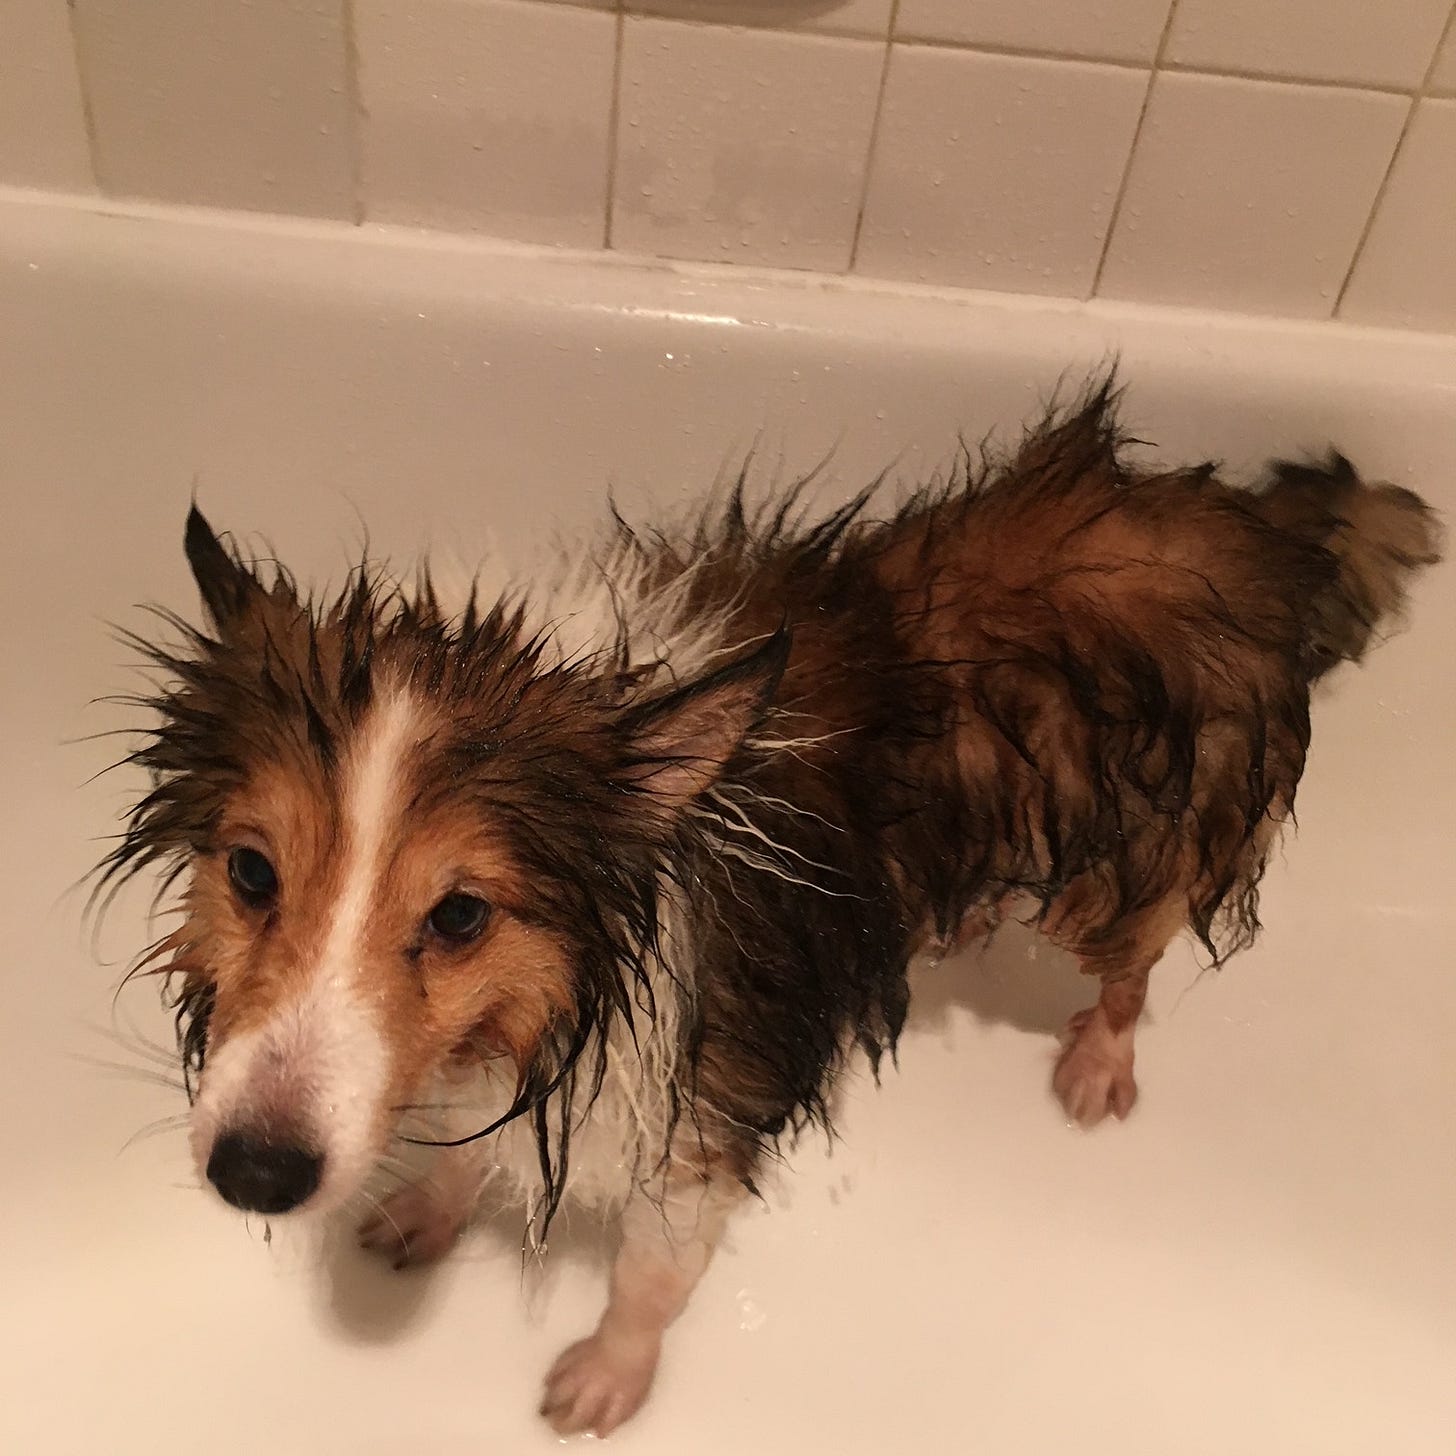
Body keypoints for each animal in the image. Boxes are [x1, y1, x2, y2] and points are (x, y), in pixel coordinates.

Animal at [99, 381, 1432, 1438]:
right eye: (252, 873)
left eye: (463, 913)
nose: (257, 1173)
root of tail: (1251, 523)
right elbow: (466, 1139)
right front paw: (428, 1204)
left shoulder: (700, 1104)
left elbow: (650, 1276)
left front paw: (603, 1378)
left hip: (1135, 851)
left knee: (1133, 958)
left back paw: (1098, 1056)